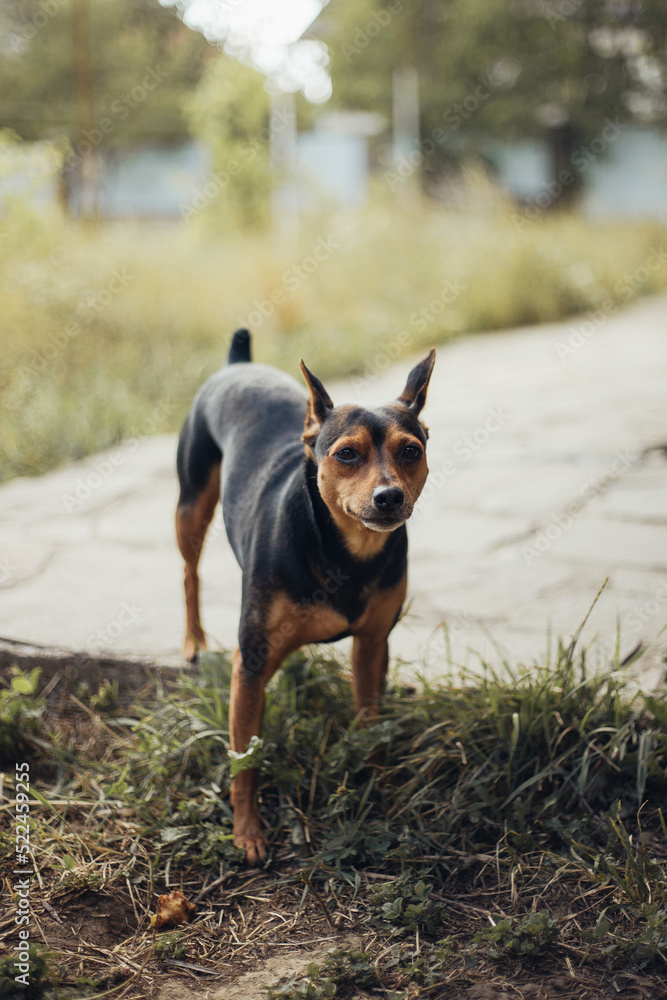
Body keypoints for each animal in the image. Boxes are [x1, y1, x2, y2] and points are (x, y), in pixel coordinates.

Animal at [175, 332, 436, 864]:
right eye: (347, 454)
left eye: (411, 451)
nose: (389, 497)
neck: (345, 553)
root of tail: (238, 364)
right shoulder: (251, 664)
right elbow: (245, 761)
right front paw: (248, 833)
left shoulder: (372, 646)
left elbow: (371, 727)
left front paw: (380, 789)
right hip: (191, 506)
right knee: (190, 572)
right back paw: (193, 640)